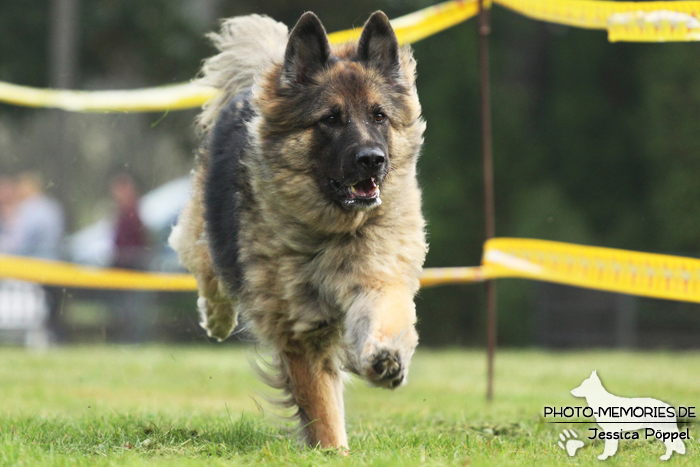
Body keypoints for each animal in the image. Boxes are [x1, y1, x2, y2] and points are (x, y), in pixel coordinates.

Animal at [171, 11, 426, 450]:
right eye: (330, 119)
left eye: (379, 115)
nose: (372, 160)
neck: (333, 234)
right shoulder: (300, 328)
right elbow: (321, 404)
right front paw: (333, 450)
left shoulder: (378, 274)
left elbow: (386, 312)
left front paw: (386, 360)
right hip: (206, 227)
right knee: (207, 267)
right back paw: (217, 318)